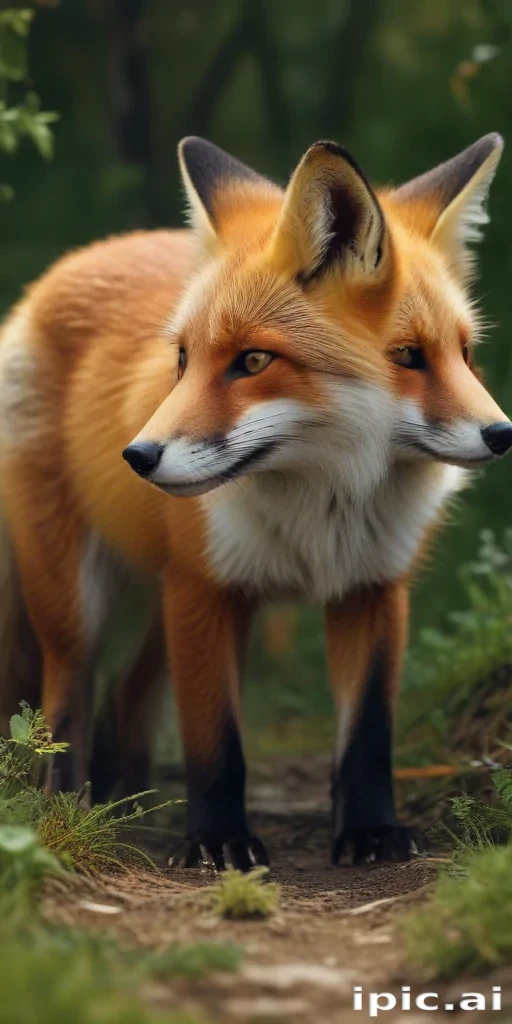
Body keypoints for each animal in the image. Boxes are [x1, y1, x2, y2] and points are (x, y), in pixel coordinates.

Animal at [0, 132, 510, 870]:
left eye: (462, 354)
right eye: (185, 359)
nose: (138, 457)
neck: (324, 502)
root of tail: (74, 261)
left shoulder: (373, 588)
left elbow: (367, 737)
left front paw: (370, 833)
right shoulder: (203, 588)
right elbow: (215, 741)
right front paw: (218, 842)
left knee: (126, 694)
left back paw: (126, 799)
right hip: (76, 594)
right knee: (67, 697)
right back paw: (66, 813)